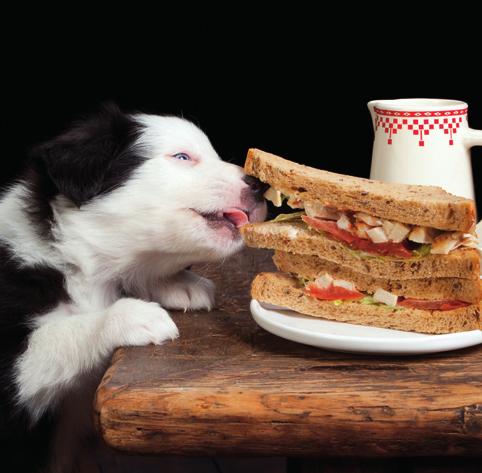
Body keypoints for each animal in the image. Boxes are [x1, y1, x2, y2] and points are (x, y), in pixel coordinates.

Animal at [0, 104, 268, 472]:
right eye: (182, 157)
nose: (259, 184)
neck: (80, 263)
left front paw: (176, 283)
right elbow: (56, 336)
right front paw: (130, 317)